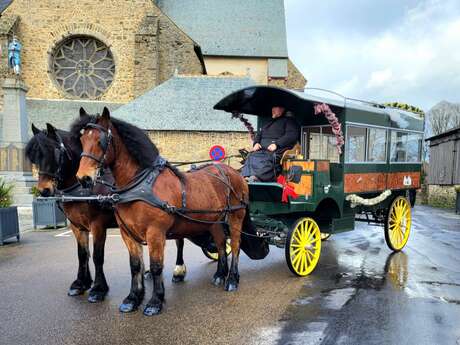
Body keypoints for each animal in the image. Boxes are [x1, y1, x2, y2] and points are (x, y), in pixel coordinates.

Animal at [23, 119, 189, 300]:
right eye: (33, 156)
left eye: (55, 152)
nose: (44, 190)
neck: (83, 190)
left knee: (179, 240)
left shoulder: (98, 225)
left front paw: (98, 288)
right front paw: (81, 283)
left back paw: (179, 270)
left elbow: (97, 256)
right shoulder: (77, 226)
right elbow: (82, 254)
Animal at [73, 107, 250, 314]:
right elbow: (135, 265)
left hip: (235, 217)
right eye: (82, 140)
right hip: (214, 221)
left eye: (100, 141)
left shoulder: (155, 232)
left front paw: (155, 301)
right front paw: (133, 298)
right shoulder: (127, 233)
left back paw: (232, 279)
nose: (83, 178)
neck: (139, 186)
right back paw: (220, 275)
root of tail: (234, 172)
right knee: (222, 244)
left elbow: (156, 266)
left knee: (235, 245)